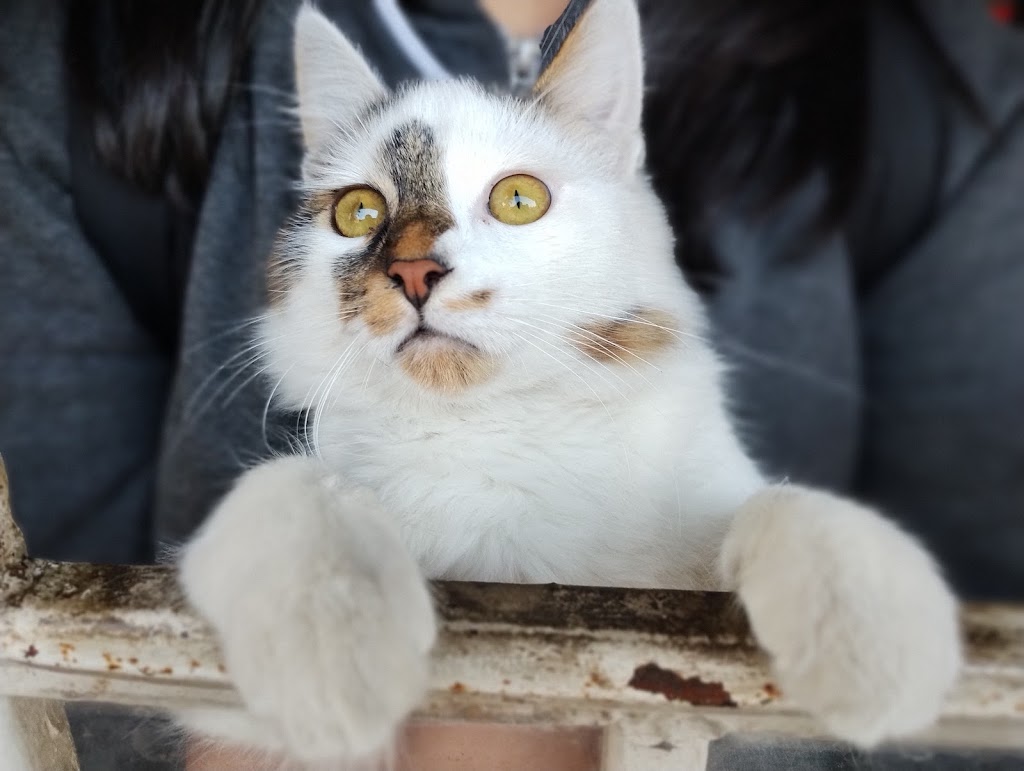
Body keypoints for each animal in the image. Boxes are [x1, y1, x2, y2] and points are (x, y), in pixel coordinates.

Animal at [176, 0, 961, 763]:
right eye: (358, 212)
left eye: (519, 200)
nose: (412, 271)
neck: (490, 425)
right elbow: (293, 485)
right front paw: (328, 647)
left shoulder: (674, 633)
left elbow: (781, 502)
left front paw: (871, 626)